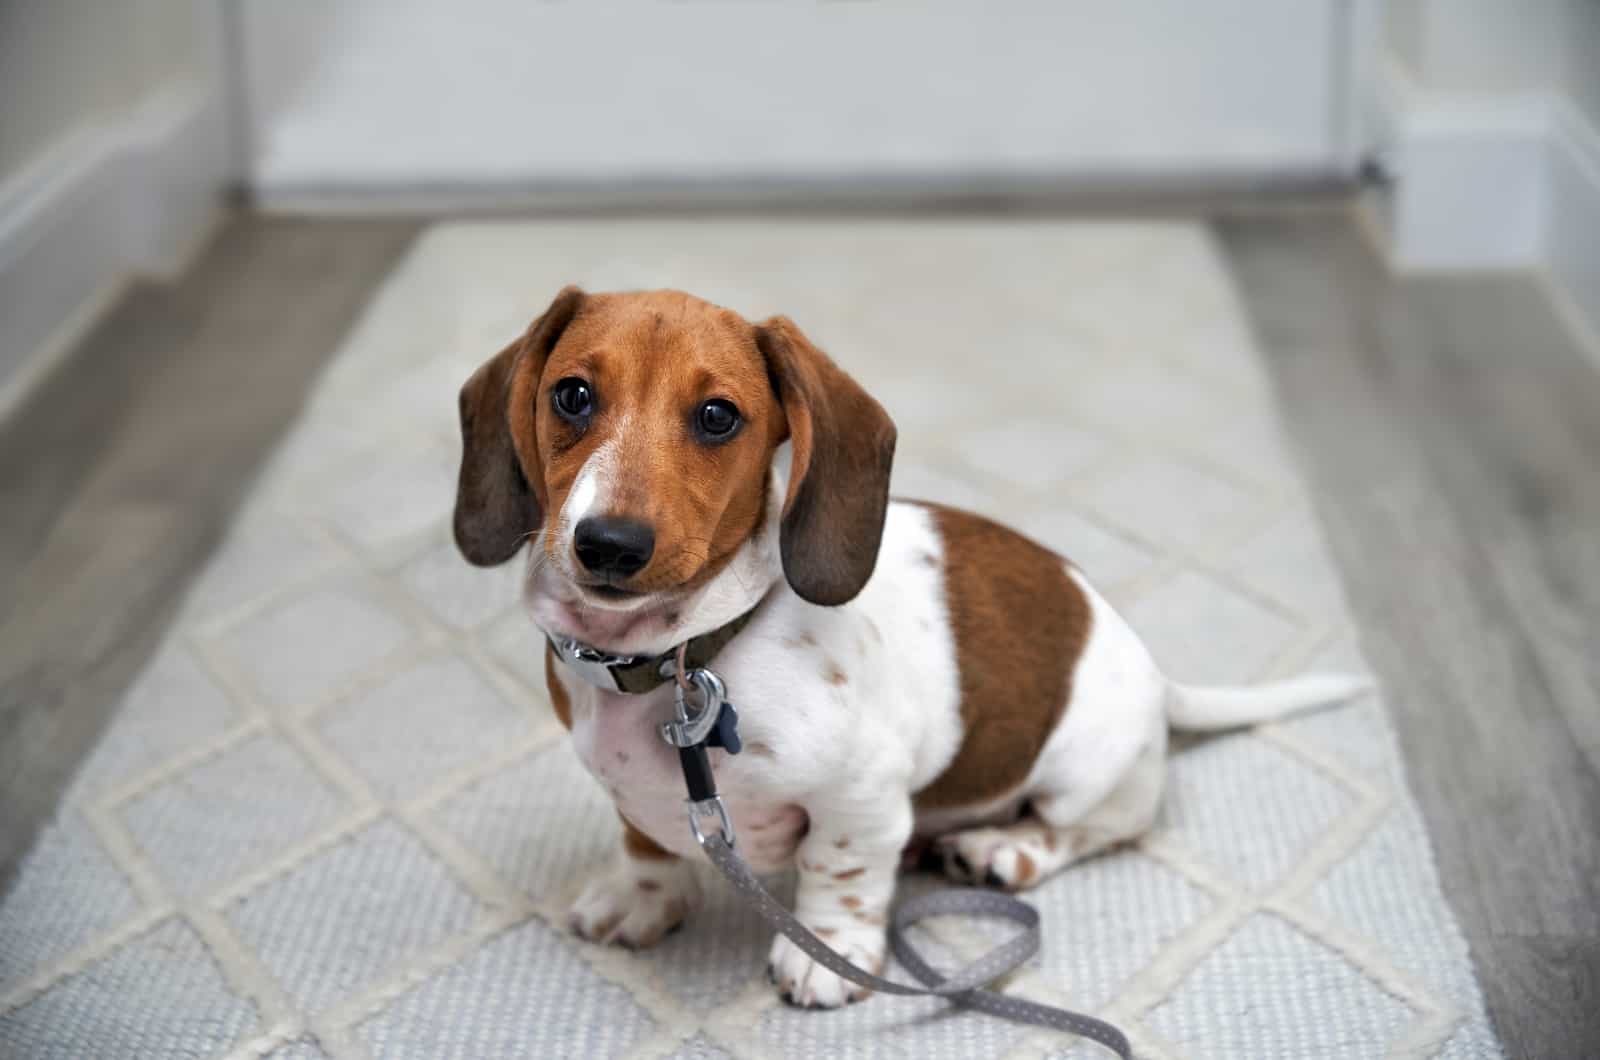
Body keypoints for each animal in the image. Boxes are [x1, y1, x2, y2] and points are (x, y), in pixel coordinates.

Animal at [451, 286, 1363, 1011]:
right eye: (572, 395)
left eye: (717, 416)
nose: (609, 544)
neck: (688, 660)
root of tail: (1153, 671)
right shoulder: (635, 795)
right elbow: (643, 842)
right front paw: (641, 899)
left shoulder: (859, 799)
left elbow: (840, 871)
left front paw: (830, 956)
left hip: (1086, 773)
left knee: (1091, 829)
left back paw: (1002, 850)